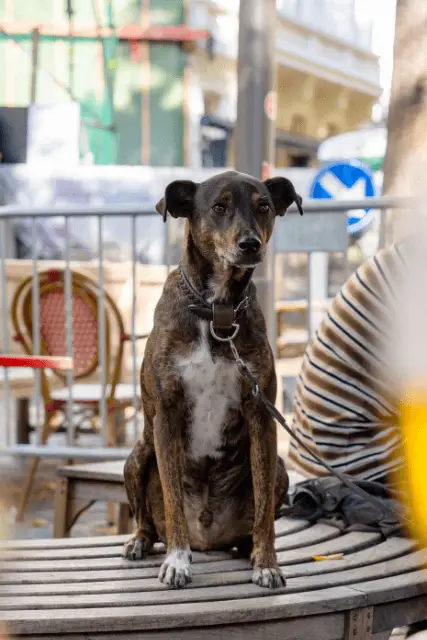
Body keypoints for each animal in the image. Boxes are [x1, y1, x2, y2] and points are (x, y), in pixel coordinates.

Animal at [123, 170, 304, 592]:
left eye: (264, 207)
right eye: (219, 207)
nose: (250, 244)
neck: (216, 311)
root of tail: (207, 539)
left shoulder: (261, 414)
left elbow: (265, 514)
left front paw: (267, 564)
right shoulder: (166, 416)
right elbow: (172, 499)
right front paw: (177, 561)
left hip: (282, 470)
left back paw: (247, 550)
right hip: (137, 456)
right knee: (146, 520)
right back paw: (140, 542)